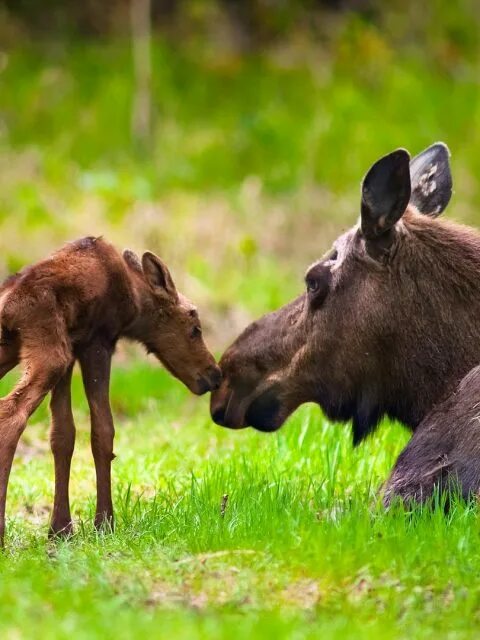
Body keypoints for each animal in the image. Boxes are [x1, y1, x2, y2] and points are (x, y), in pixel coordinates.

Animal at [0, 238, 222, 544]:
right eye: (194, 328)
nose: (215, 374)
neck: (134, 301)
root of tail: (8, 309)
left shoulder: (72, 349)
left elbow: (63, 435)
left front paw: (61, 529)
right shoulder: (98, 342)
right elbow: (103, 432)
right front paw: (104, 523)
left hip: (15, 350)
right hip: (49, 355)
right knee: (11, 414)